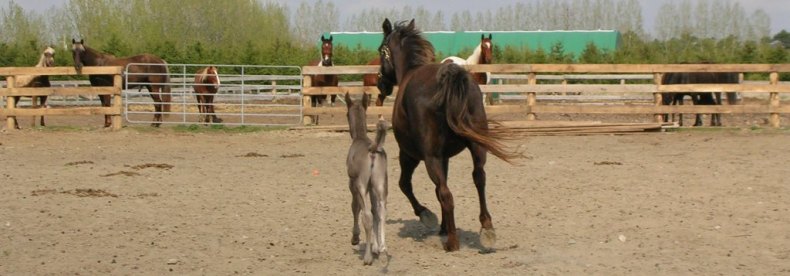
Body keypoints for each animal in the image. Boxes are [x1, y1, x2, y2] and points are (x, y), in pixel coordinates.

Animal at [378, 18, 520, 252]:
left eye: (381, 51)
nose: (381, 84)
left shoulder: (410, 155)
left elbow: (406, 184)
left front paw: (428, 216)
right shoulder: (444, 157)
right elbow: (439, 188)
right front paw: (444, 225)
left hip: (429, 158)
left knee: (446, 193)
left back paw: (452, 241)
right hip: (476, 147)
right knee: (479, 178)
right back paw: (486, 228)